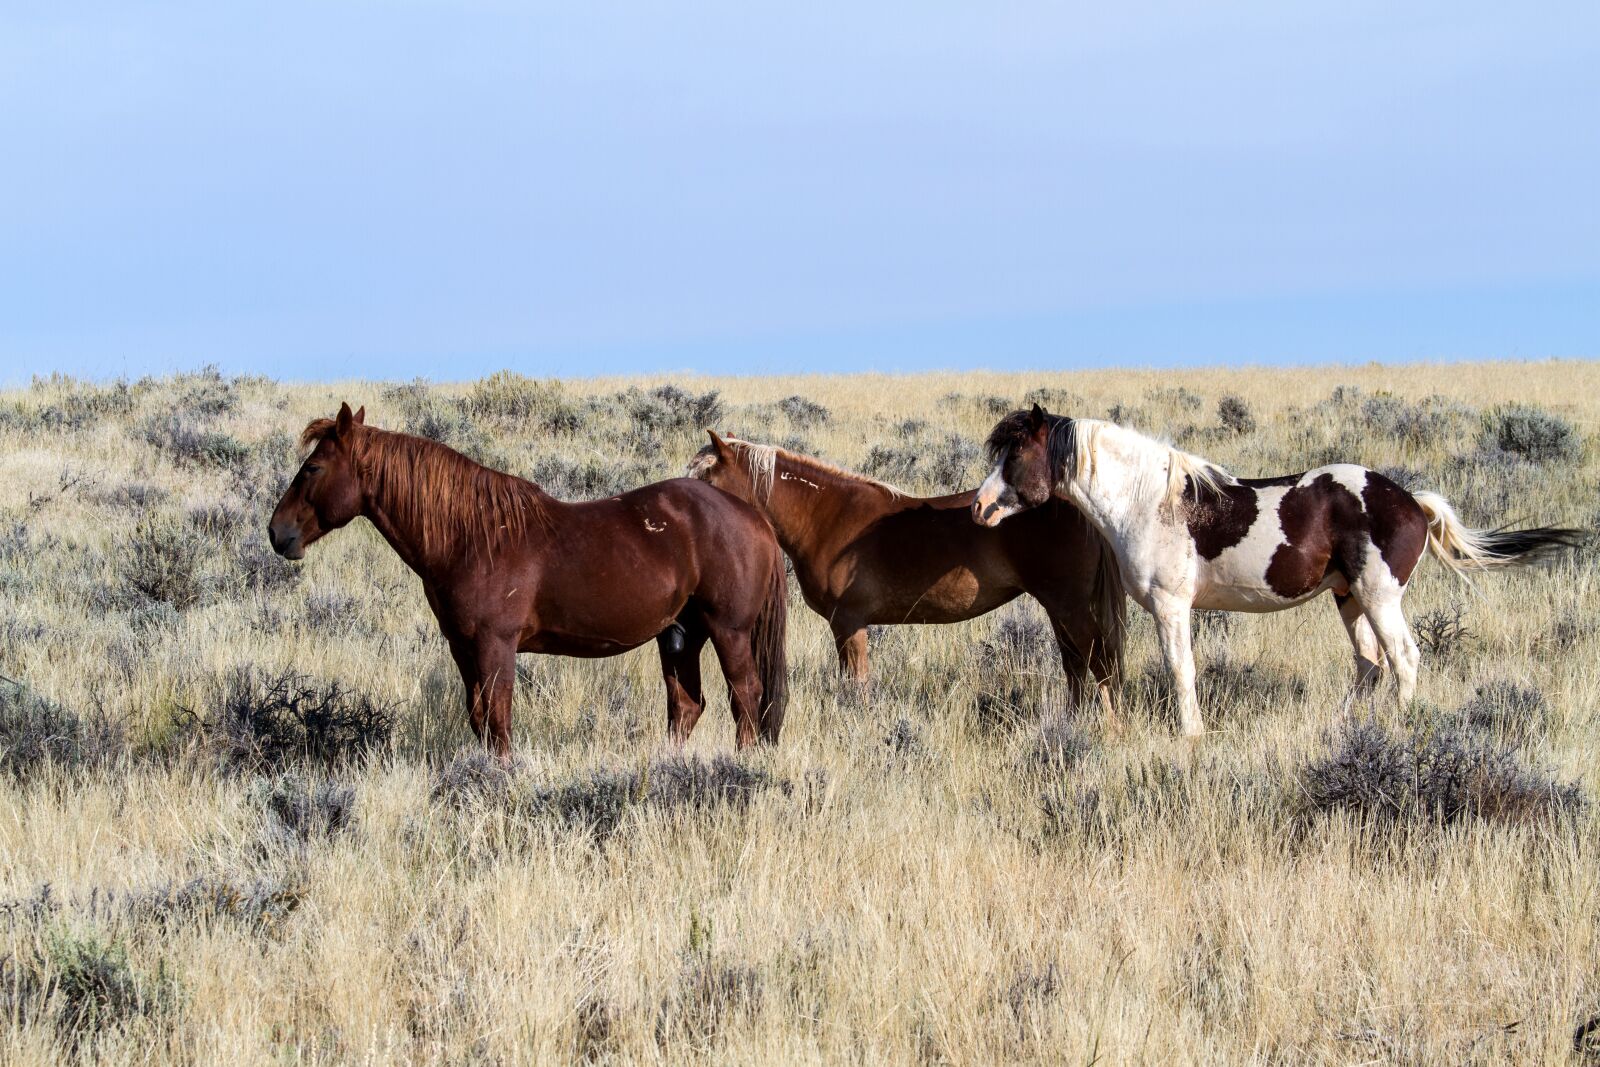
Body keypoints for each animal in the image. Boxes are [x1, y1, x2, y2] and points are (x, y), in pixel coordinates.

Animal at [267, 403, 788, 756]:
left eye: (313, 467)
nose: (277, 532)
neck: (471, 537)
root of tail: (755, 517)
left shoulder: (496, 644)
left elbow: (499, 722)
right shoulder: (463, 646)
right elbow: (480, 719)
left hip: (729, 631)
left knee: (746, 698)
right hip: (679, 635)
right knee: (686, 706)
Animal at [688, 430, 1125, 718]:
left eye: (707, 478)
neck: (826, 517)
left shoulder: (848, 623)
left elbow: (857, 685)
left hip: (1068, 605)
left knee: (1099, 660)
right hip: (1058, 606)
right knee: (1075, 664)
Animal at [974, 404, 1584, 736]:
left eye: (1015, 455)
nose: (979, 508)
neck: (1146, 501)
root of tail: (1413, 502)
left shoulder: (1172, 607)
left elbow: (1181, 671)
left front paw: (1191, 735)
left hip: (1379, 596)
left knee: (1404, 660)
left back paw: (1400, 726)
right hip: (1349, 598)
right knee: (1369, 665)